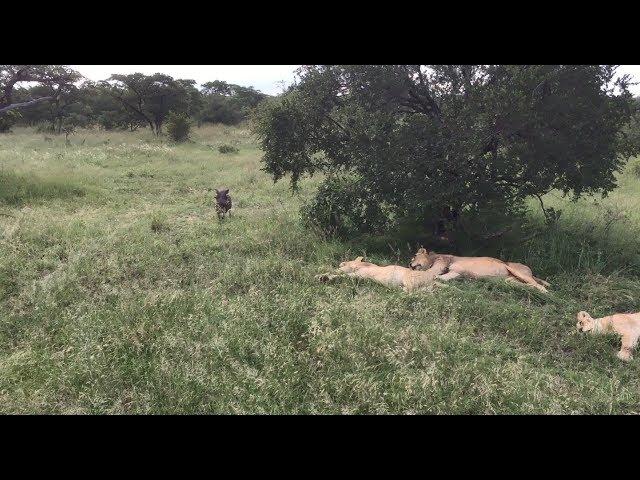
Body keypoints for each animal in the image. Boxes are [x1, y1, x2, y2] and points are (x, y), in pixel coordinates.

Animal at [408, 248, 548, 292]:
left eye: (414, 255)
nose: (409, 264)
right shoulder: (455, 273)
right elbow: (441, 278)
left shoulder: (443, 267)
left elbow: (433, 275)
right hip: (510, 280)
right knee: (529, 285)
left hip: (516, 271)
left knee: (540, 286)